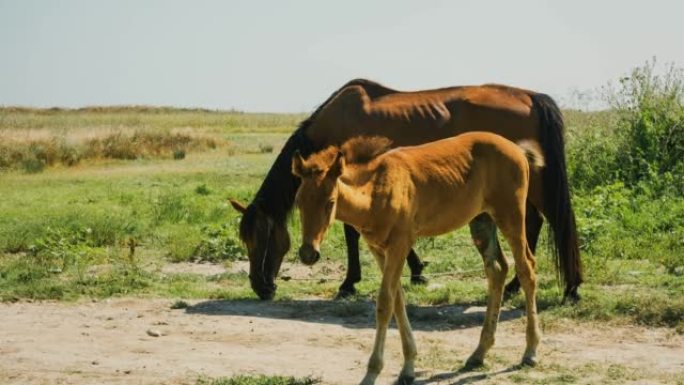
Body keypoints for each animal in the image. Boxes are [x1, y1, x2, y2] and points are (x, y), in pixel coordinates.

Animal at [230, 77, 584, 300]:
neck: (334, 122)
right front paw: (416, 271)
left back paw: (571, 287)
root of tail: (531, 97)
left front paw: (349, 283)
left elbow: (351, 232)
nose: (260, 287)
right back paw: (513, 286)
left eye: (262, 237)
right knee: (534, 223)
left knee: (552, 221)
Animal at [292, 133, 544, 384]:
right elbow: (397, 299)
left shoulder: (400, 244)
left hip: (510, 215)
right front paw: (408, 367)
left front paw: (372, 371)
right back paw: (479, 353)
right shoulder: (378, 249)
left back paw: (530, 351)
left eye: (331, 202)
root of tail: (518, 151)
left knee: (527, 269)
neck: (376, 189)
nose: (308, 253)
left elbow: (385, 302)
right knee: (497, 269)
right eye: (298, 202)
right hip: (482, 220)